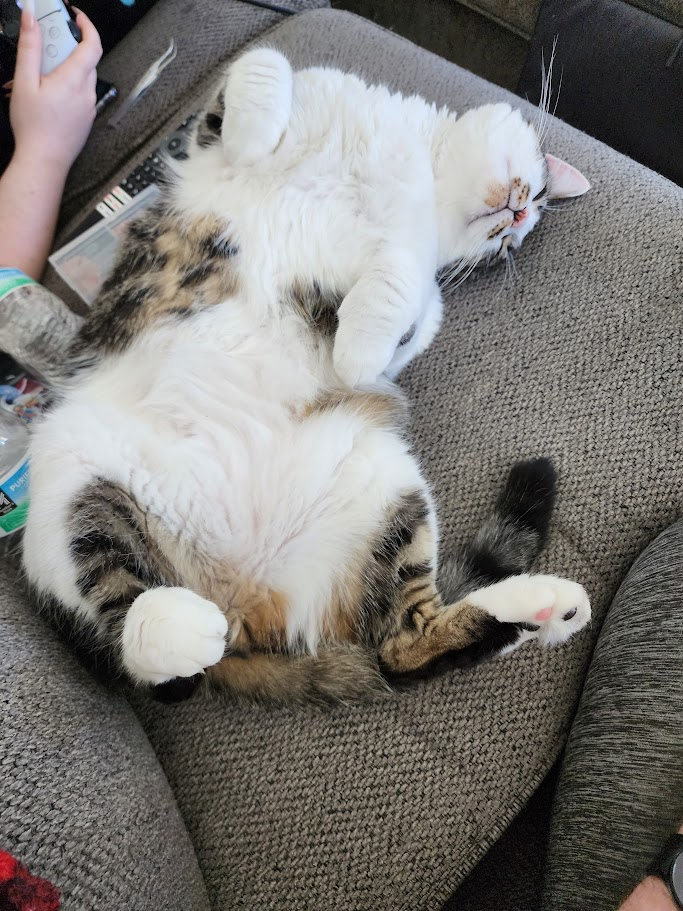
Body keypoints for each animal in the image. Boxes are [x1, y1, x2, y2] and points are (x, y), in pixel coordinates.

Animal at [22, 50, 592, 705]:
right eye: (537, 195)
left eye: (513, 240)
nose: (519, 219)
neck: (411, 170)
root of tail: (237, 601)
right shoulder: (216, 135)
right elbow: (261, 66)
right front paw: (258, 122)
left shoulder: (408, 272)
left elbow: (400, 292)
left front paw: (358, 348)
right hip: (72, 471)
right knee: (140, 648)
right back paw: (177, 625)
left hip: (381, 484)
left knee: (400, 647)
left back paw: (547, 608)